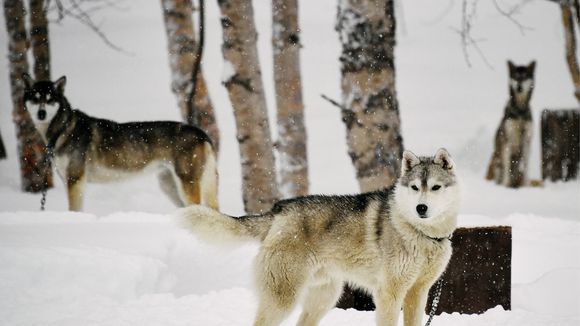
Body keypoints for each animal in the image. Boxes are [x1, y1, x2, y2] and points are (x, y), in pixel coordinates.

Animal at [22, 73, 218, 211]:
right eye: (35, 99)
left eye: (50, 100)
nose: (41, 114)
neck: (62, 129)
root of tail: (201, 133)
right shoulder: (68, 181)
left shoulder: (75, 180)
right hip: (169, 186)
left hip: (186, 184)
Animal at [179, 149, 460, 324]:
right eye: (415, 188)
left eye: (435, 187)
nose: (421, 208)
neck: (421, 234)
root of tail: (278, 210)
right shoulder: (388, 294)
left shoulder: (418, 293)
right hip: (284, 300)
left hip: (324, 298)